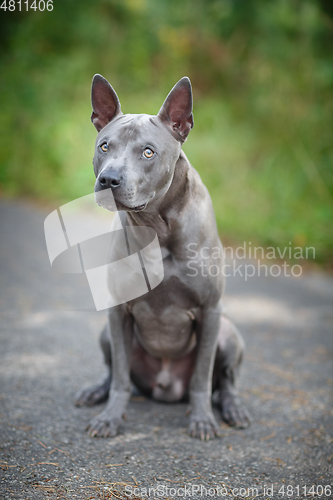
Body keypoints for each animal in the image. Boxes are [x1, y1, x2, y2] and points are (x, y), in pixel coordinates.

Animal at [75, 73, 250, 438]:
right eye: (104, 146)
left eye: (148, 152)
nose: (108, 179)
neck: (156, 227)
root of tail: (166, 386)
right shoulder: (118, 312)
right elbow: (121, 376)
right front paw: (111, 417)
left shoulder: (210, 311)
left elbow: (201, 378)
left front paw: (202, 420)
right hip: (106, 333)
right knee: (113, 371)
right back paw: (95, 391)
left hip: (228, 332)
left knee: (225, 382)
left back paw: (233, 408)